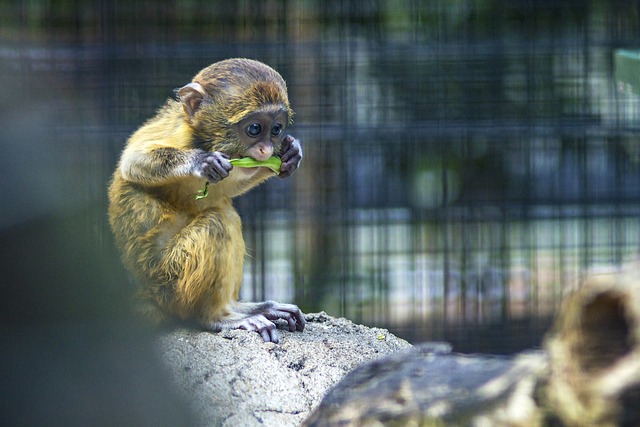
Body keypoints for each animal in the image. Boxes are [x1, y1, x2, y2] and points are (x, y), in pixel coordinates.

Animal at [109, 57, 306, 344]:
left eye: (276, 130)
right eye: (254, 128)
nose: (267, 150)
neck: (205, 140)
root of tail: (152, 295)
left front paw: (290, 153)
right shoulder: (178, 132)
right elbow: (133, 162)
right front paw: (201, 162)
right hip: (172, 283)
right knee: (218, 222)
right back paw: (217, 316)